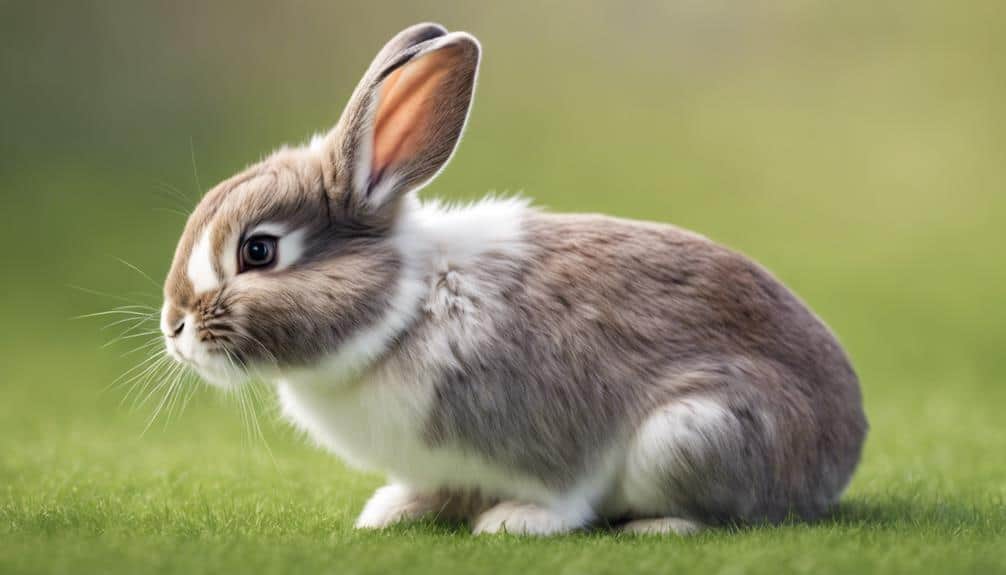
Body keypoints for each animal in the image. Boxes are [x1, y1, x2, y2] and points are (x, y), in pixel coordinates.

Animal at [160, 23, 867, 536]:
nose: (174, 328)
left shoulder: (548, 431)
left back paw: (658, 527)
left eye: (258, 251)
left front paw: (514, 521)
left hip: (691, 434)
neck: (404, 312)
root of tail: (843, 448)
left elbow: (563, 493)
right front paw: (394, 511)